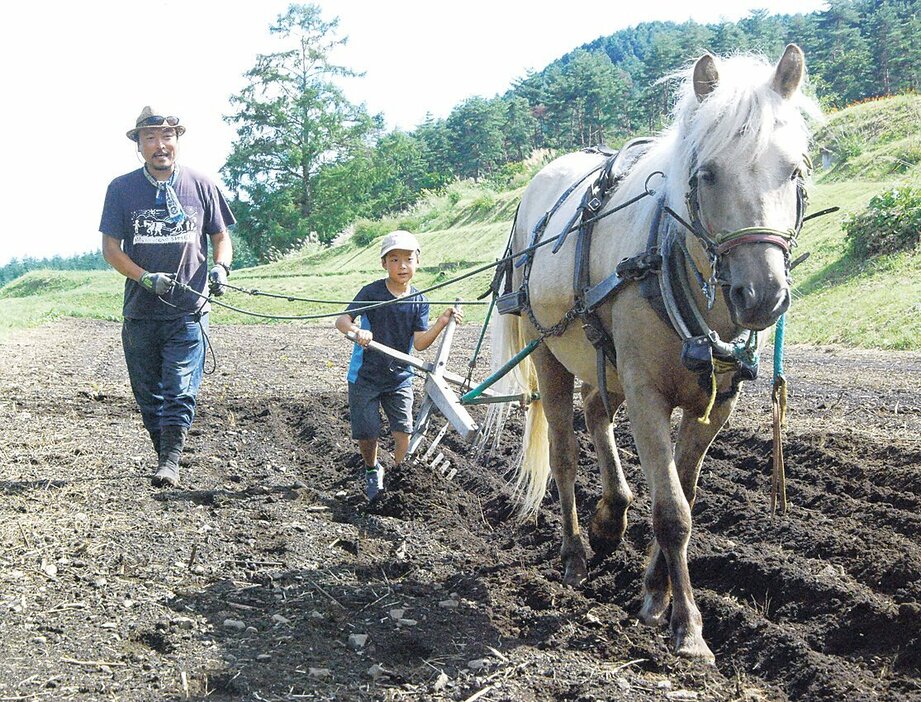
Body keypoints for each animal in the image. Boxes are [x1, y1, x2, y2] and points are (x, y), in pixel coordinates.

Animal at [488, 45, 820, 664]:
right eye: (706, 173)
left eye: (794, 171)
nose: (762, 294)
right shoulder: (647, 395)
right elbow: (671, 512)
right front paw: (688, 628)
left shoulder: (715, 406)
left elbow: (684, 494)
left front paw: (653, 595)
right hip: (551, 353)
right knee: (565, 453)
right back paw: (575, 552)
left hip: (606, 360)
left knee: (597, 413)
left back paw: (610, 518)